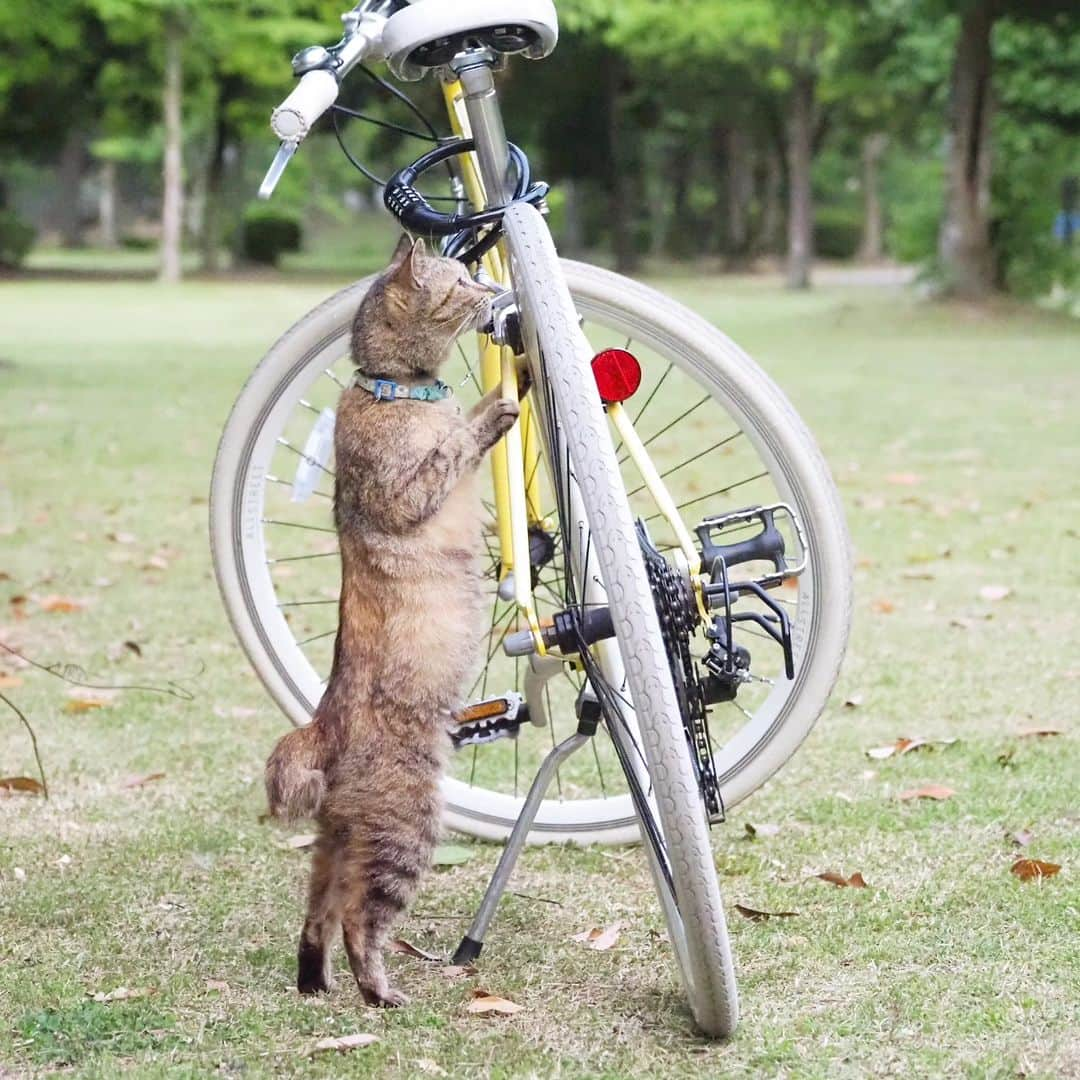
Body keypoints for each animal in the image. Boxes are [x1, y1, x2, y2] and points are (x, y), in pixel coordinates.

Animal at [260, 234, 514, 1002]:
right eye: (461, 281)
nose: (495, 290)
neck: (398, 386)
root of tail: (321, 725)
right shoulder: (407, 488)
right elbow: (456, 443)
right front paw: (495, 407)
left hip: (334, 843)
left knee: (317, 914)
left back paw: (318, 985)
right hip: (406, 827)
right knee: (358, 921)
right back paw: (381, 990)